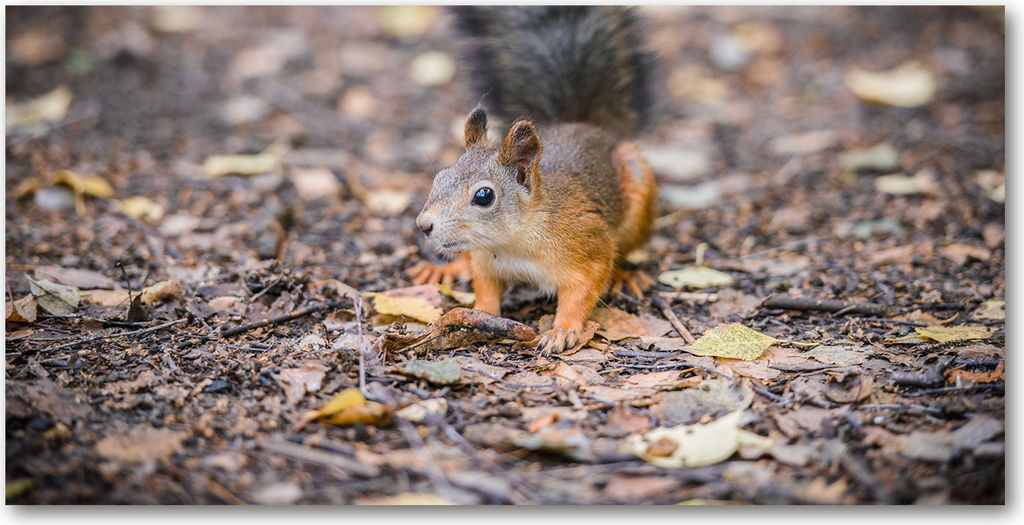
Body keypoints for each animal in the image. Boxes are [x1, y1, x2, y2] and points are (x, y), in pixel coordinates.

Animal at [410, 6, 660, 355]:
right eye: (438, 178)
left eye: (484, 196)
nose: (424, 225)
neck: (512, 244)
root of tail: (585, 126)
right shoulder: (485, 263)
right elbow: (485, 288)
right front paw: (480, 314)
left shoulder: (588, 246)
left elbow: (584, 290)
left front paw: (562, 330)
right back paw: (446, 268)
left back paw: (626, 275)